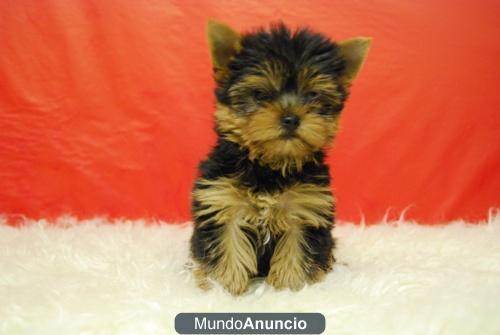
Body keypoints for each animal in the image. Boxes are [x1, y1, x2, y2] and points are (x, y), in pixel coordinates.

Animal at [189, 20, 370, 296]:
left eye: (313, 96)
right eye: (260, 94)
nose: (291, 118)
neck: (270, 165)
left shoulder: (305, 210)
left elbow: (295, 251)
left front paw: (287, 289)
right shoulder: (222, 202)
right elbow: (228, 247)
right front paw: (225, 289)